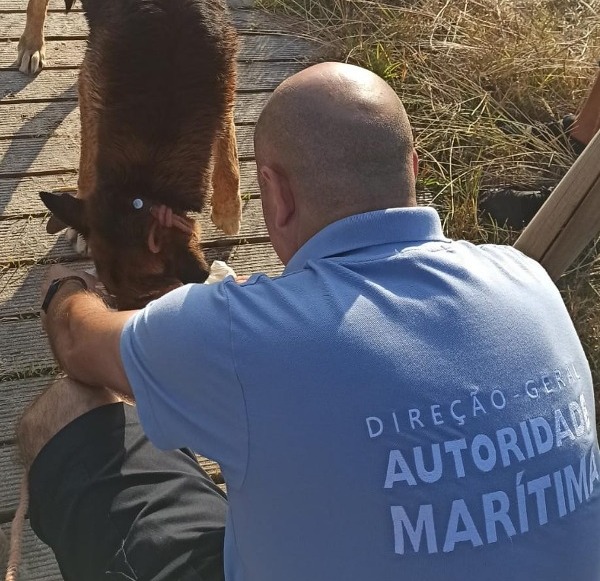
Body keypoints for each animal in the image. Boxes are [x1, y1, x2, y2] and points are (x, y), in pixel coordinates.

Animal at [19, 0, 244, 310]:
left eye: (150, 297)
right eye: (111, 292)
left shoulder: (224, 80)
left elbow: (227, 138)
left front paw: (228, 209)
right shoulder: (92, 88)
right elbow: (88, 163)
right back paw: (31, 44)